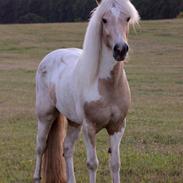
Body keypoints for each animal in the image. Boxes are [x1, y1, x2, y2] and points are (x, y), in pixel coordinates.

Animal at [33, 0, 139, 182]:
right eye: (104, 20)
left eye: (127, 18)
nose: (120, 50)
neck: (107, 86)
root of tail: (49, 57)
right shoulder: (89, 128)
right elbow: (92, 164)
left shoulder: (117, 127)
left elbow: (115, 164)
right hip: (45, 116)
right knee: (41, 147)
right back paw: (36, 177)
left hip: (74, 121)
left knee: (67, 148)